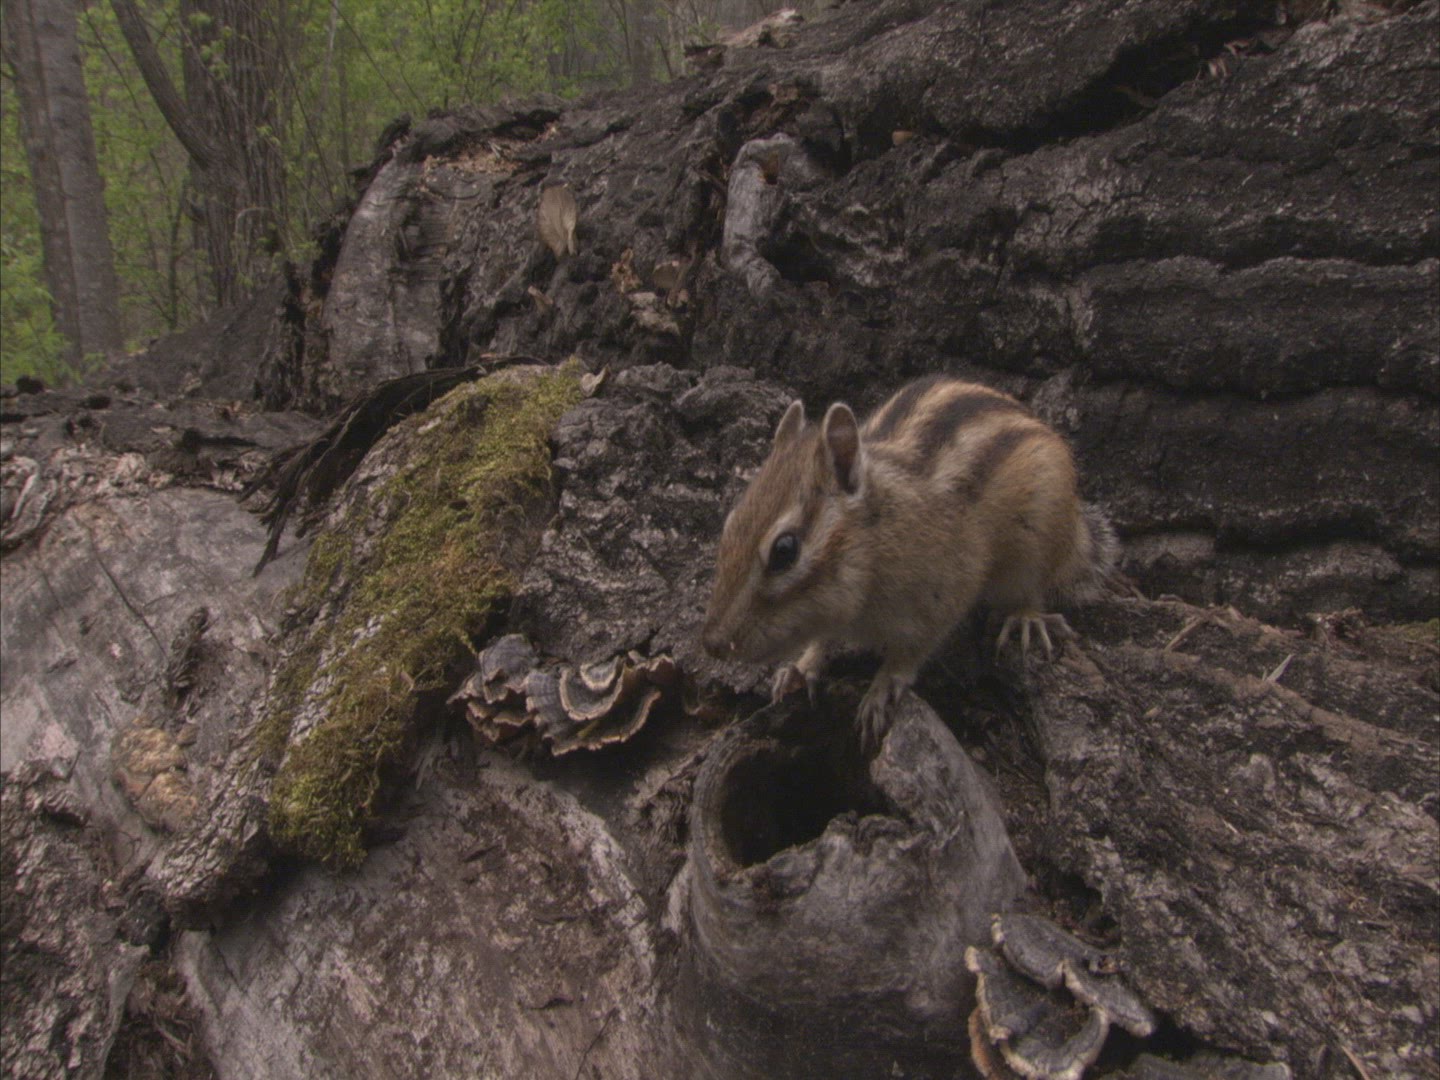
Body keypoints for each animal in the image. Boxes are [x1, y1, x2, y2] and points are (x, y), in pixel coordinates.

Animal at [701, 374, 1117, 750]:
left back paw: (1026, 618)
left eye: (784, 551)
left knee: (1032, 590)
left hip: (1035, 545)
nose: (713, 645)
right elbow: (821, 641)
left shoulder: (945, 593)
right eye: (731, 523)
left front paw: (881, 688)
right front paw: (799, 670)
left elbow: (913, 651)